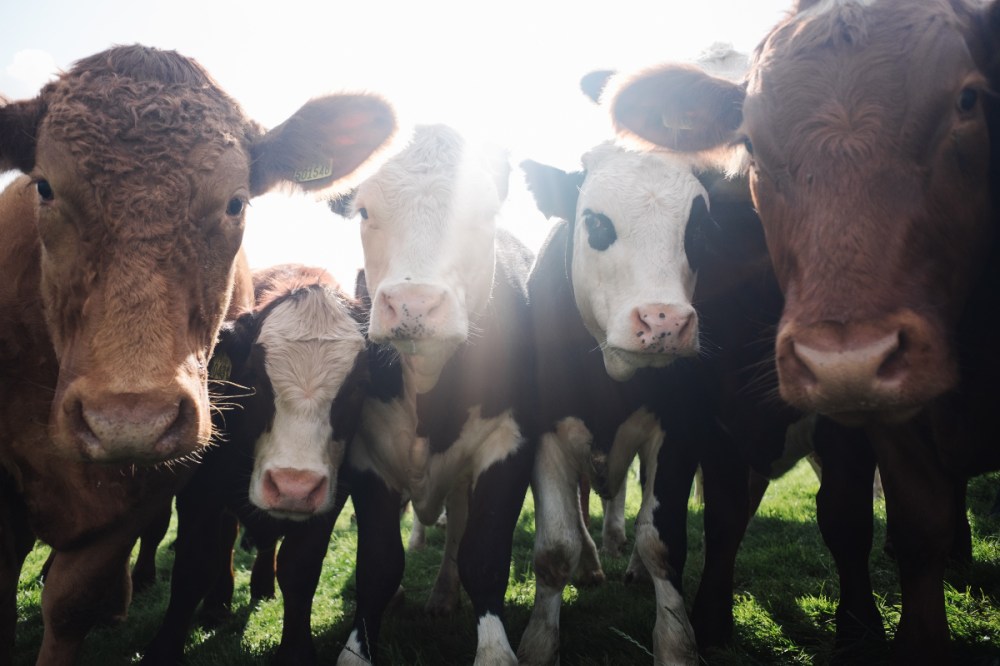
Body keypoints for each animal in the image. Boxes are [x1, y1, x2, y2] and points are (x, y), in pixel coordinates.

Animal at [141, 264, 369, 665]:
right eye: (256, 379)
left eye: (357, 386)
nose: (293, 486)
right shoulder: (201, 489)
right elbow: (194, 565)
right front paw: (163, 650)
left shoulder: (332, 497)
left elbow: (300, 569)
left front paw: (296, 651)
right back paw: (216, 602)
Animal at [337, 124, 535, 665]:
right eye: (365, 211)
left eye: (484, 212)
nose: (413, 303)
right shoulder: (366, 455)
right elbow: (378, 564)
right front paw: (355, 649)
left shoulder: (509, 443)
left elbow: (483, 555)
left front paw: (494, 650)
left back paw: (444, 595)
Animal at [605, 0, 1000, 661]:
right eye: (748, 138)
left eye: (968, 101)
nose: (848, 360)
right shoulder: (717, 412)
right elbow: (727, 514)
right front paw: (711, 620)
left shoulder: (850, 424)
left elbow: (846, 516)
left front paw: (860, 627)